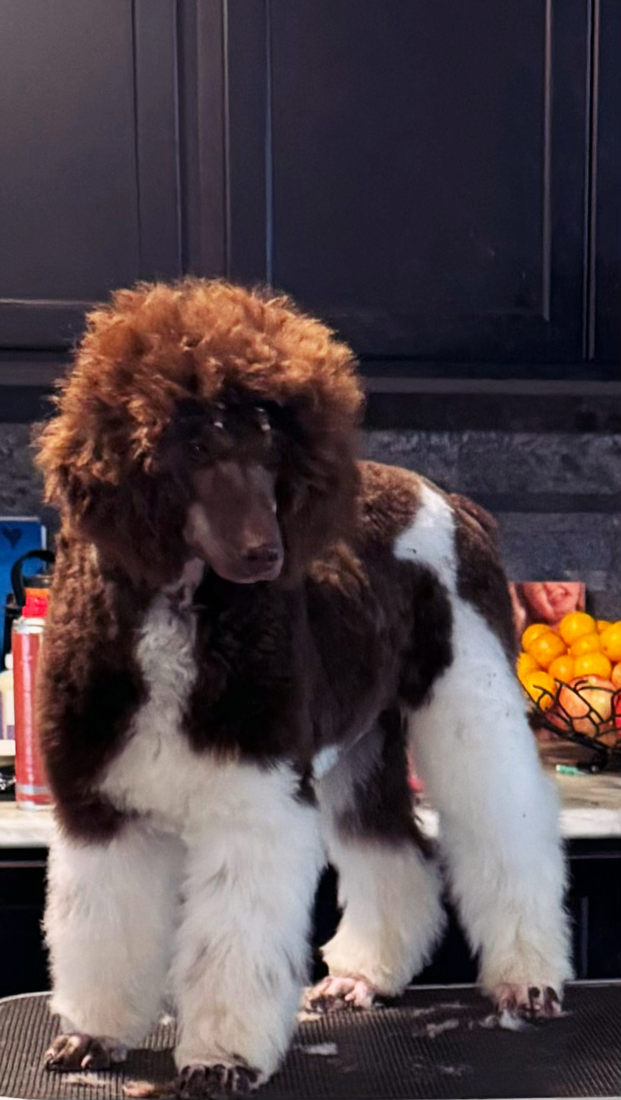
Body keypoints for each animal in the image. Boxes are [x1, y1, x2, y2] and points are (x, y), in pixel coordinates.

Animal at [35, 280, 571, 1098]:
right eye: (196, 446)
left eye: (269, 450)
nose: (268, 554)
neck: (180, 611)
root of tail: (450, 499)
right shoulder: (101, 807)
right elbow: (104, 929)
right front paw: (94, 1035)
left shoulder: (253, 803)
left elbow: (232, 945)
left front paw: (220, 1059)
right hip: (363, 736)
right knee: (393, 849)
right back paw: (365, 974)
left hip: (468, 698)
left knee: (506, 827)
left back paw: (528, 979)